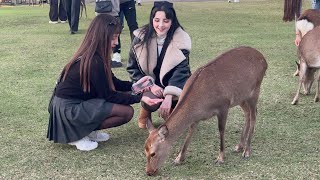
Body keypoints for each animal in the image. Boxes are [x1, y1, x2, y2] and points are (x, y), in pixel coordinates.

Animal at [143, 46, 268, 176]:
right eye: (144, 150)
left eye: (153, 153)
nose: (149, 172)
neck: (200, 104)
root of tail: (264, 59)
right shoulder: (196, 118)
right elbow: (190, 132)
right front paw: (179, 159)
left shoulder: (223, 105)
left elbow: (221, 130)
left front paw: (220, 158)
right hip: (241, 97)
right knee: (247, 114)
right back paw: (239, 146)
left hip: (255, 90)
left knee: (254, 115)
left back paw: (247, 151)